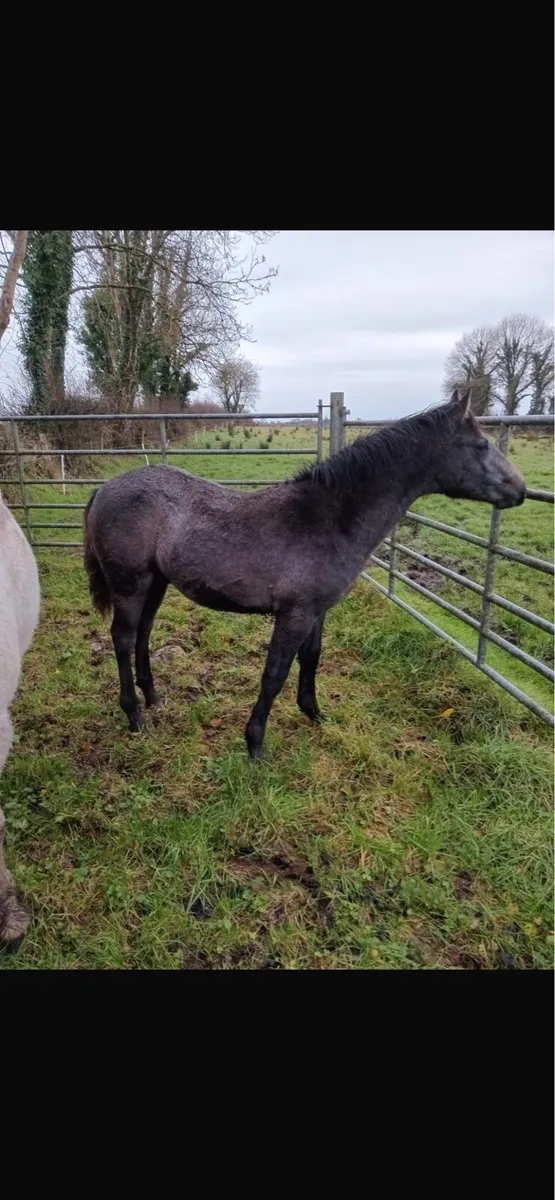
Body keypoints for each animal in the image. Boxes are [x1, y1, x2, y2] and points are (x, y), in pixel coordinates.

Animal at [83, 391, 525, 760]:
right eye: (481, 445)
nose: (520, 490)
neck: (329, 518)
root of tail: (105, 489)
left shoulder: (317, 610)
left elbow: (311, 659)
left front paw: (315, 714)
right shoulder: (293, 614)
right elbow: (274, 674)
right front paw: (255, 745)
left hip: (156, 583)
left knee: (143, 634)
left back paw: (154, 698)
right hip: (130, 584)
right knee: (123, 639)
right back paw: (135, 716)